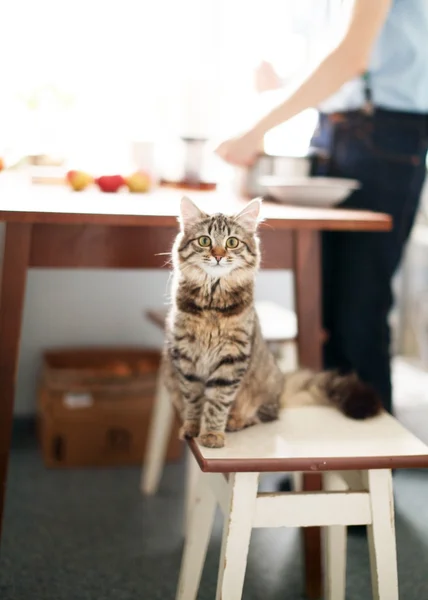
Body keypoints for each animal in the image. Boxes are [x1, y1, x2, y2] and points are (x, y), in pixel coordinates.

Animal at [161, 195, 382, 448]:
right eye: (205, 240)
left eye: (232, 242)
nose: (218, 255)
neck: (212, 304)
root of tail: (282, 387)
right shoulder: (186, 357)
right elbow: (194, 400)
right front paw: (193, 428)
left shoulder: (232, 357)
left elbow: (217, 402)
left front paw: (212, 434)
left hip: (263, 389)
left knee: (265, 415)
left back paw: (236, 421)